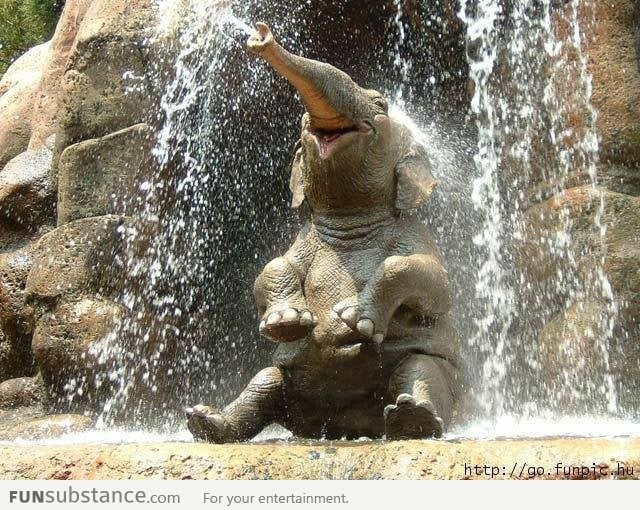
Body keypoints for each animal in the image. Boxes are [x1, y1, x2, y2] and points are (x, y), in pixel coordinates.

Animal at [186, 21, 460, 440]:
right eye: (302, 124)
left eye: (380, 104)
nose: (261, 36)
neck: (350, 218)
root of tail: (344, 424)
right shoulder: (304, 240)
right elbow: (272, 266)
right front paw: (286, 323)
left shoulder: (413, 233)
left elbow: (434, 282)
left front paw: (353, 320)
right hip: (288, 382)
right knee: (264, 382)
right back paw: (207, 422)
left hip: (429, 366)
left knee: (422, 369)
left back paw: (412, 418)